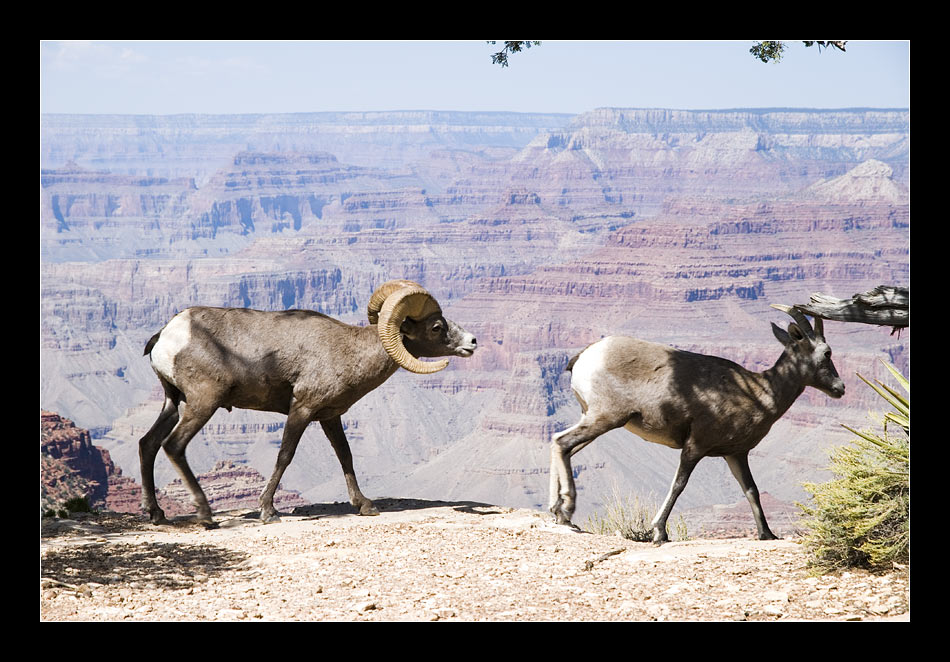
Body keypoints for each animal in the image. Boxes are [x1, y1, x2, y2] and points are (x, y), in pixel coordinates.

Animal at [138, 280, 480, 528]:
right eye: (436, 327)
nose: (473, 342)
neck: (348, 350)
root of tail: (166, 336)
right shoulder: (301, 410)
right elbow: (285, 456)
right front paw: (268, 512)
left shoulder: (330, 417)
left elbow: (346, 457)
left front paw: (365, 506)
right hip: (202, 404)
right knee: (174, 446)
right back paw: (206, 515)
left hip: (173, 403)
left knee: (148, 444)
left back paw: (157, 514)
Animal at [552, 306, 848, 544]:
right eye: (827, 352)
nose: (840, 388)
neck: (759, 392)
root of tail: (584, 357)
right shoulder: (695, 446)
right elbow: (679, 485)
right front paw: (659, 532)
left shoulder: (736, 454)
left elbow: (751, 490)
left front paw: (767, 534)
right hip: (605, 418)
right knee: (562, 442)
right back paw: (566, 512)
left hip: (594, 418)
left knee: (560, 443)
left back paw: (558, 512)